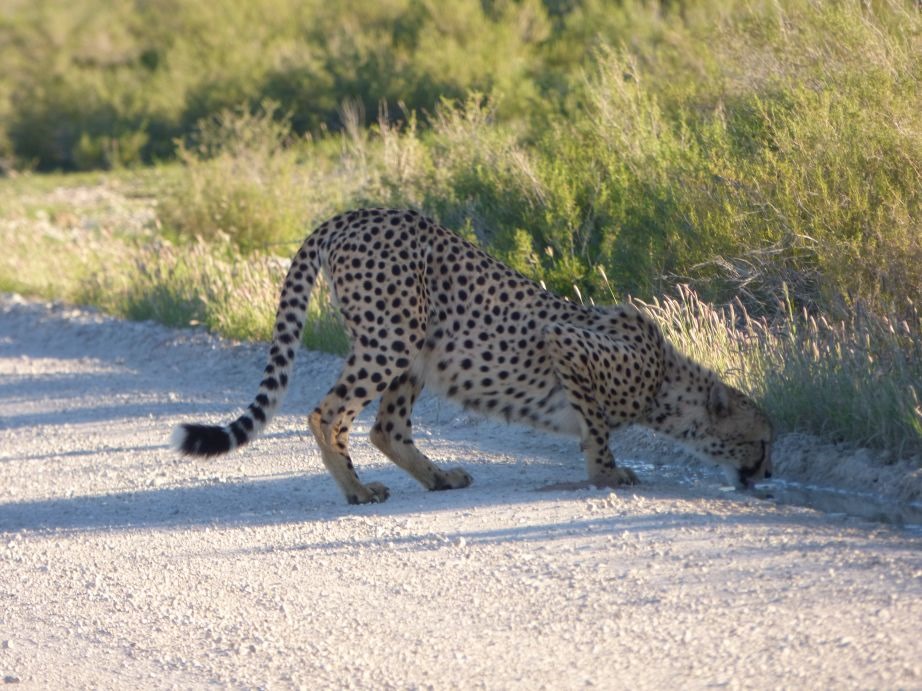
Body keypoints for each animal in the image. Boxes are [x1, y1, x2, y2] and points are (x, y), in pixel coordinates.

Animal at [172, 208, 773, 504]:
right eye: (763, 441)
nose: (767, 471)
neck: (667, 383)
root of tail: (354, 213)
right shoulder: (567, 343)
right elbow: (597, 429)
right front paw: (608, 473)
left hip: (415, 347)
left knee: (387, 427)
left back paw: (437, 479)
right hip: (392, 337)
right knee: (328, 413)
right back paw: (357, 490)